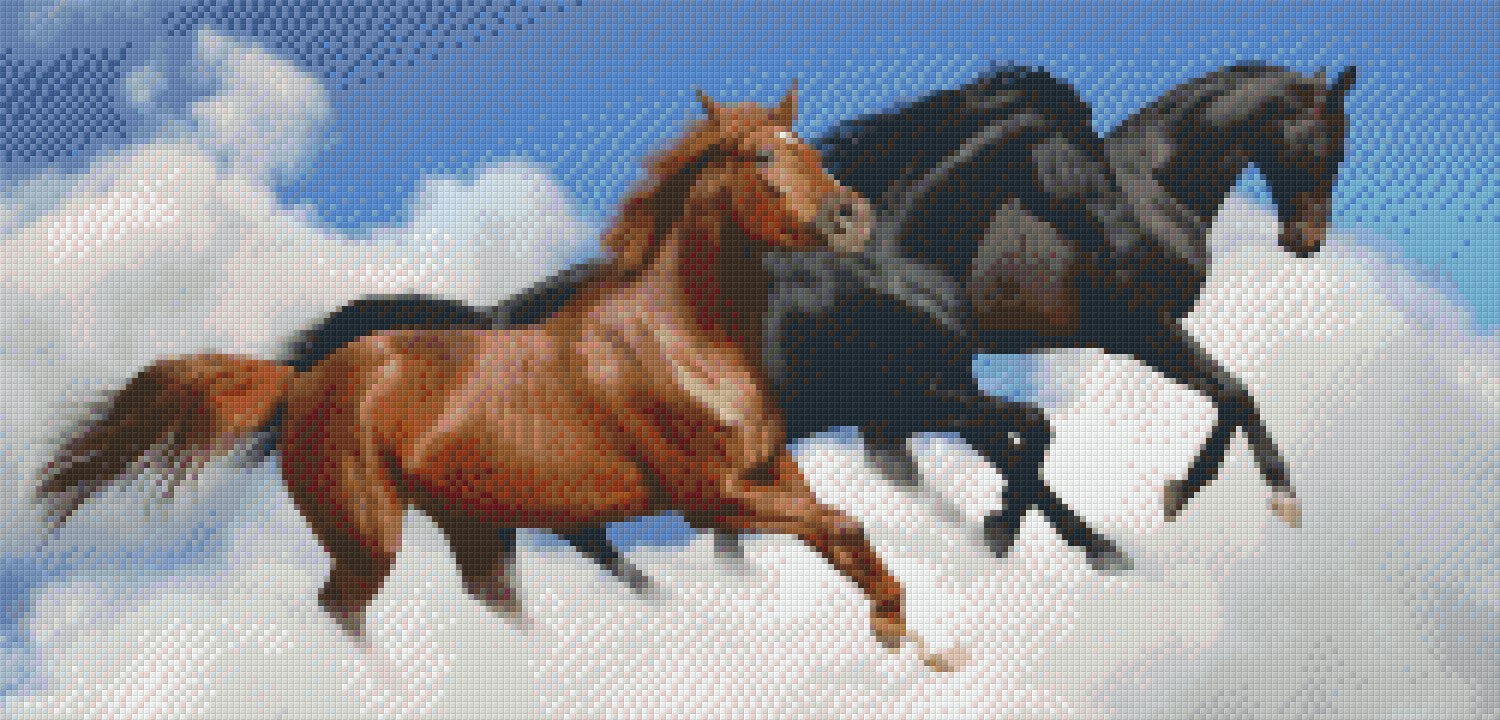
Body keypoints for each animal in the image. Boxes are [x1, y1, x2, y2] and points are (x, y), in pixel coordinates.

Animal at [35, 88, 968, 671]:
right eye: (762, 158)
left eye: (807, 147)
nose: (853, 216)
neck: (682, 339)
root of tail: (301, 382)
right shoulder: (707, 496)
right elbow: (844, 524)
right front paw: (901, 635)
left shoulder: (771, 471)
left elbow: (842, 534)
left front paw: (919, 643)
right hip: (369, 535)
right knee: (342, 611)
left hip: (478, 524)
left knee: (492, 601)